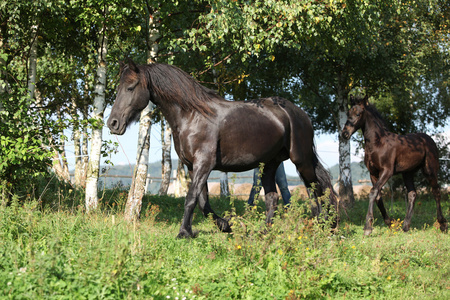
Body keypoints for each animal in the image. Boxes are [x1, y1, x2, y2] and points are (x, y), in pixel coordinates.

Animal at [342, 95, 446, 234]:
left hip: (430, 170)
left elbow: (373, 192)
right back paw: (406, 226)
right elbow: (378, 196)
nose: (344, 134)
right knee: (412, 194)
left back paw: (442, 224)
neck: (377, 143)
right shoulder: (373, 173)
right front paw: (389, 222)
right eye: (348, 113)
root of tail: (429, 139)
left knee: (436, 192)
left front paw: (368, 227)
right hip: (408, 173)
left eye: (358, 114)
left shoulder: (387, 171)